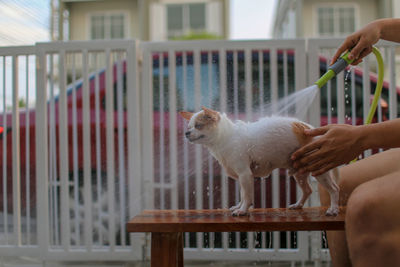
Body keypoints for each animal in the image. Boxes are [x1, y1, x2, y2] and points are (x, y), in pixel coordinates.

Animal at [180, 105, 340, 217]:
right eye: (189, 127)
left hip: (318, 170)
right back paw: (298, 205)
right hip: (299, 172)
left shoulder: (245, 174)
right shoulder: (242, 177)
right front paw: (239, 207)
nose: (186, 133)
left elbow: (247, 195)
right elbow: (243, 194)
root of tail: (310, 128)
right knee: (308, 190)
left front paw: (242, 210)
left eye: (198, 126)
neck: (226, 137)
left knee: (334, 189)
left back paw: (333, 209)